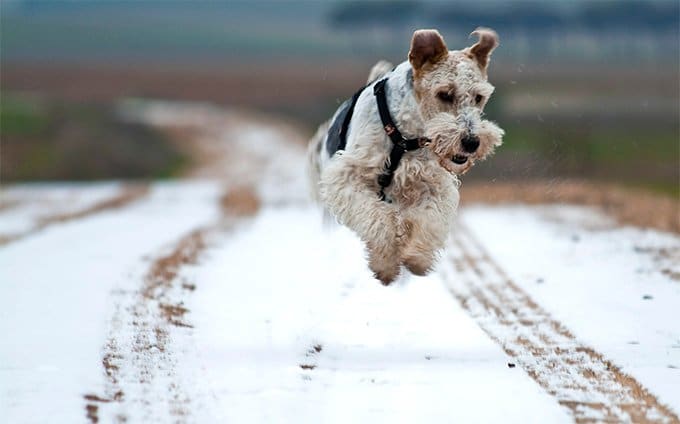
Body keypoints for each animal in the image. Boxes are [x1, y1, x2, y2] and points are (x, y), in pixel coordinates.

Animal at [308, 27, 504, 284]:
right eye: (445, 94)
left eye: (479, 97)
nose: (472, 142)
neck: (407, 135)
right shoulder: (345, 177)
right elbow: (380, 221)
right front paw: (386, 266)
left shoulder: (434, 184)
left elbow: (430, 220)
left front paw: (417, 259)